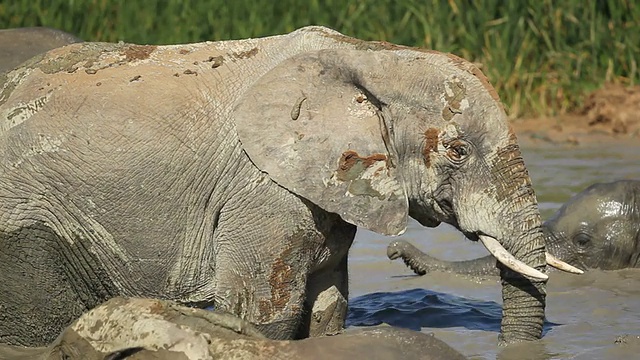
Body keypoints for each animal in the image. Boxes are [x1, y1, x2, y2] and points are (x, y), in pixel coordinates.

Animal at [0, 24, 576, 346]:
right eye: (457, 151)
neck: (367, 54)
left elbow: (327, 307)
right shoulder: (261, 189)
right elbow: (263, 313)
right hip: (30, 216)